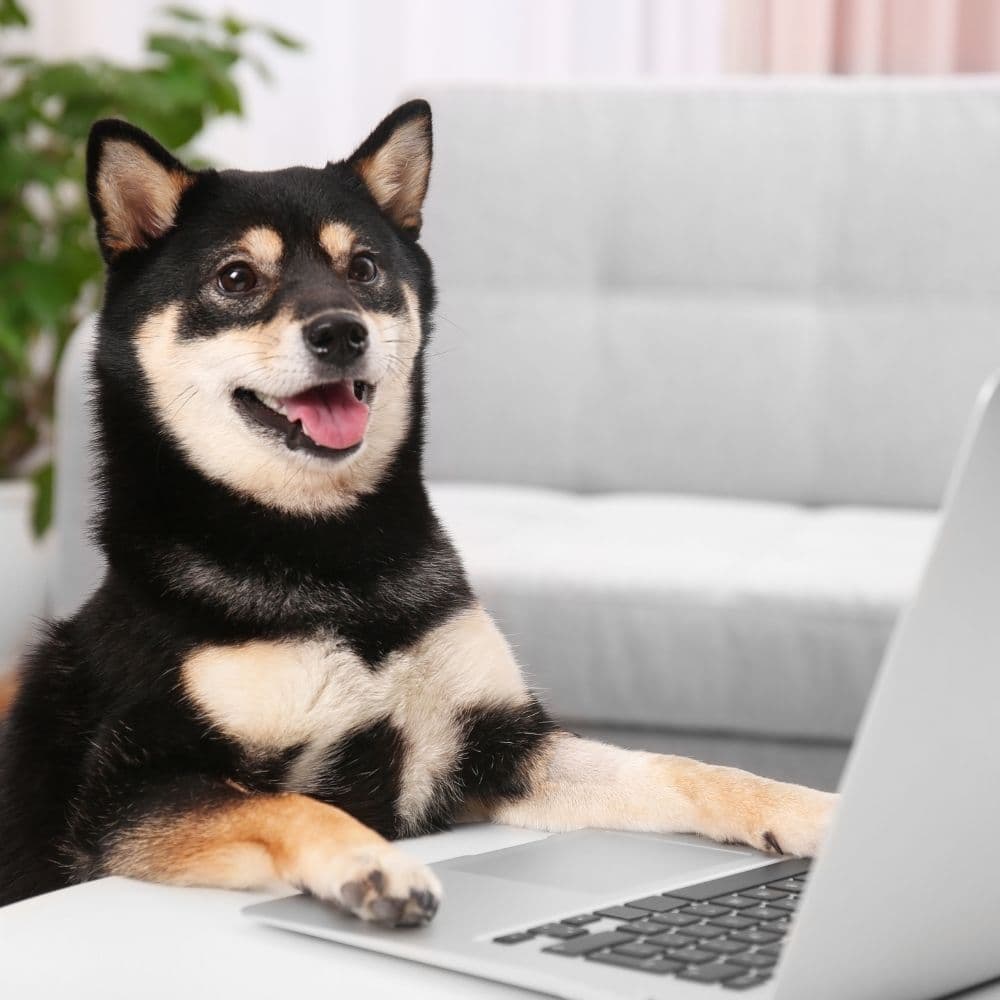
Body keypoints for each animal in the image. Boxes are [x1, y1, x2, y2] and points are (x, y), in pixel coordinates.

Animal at [0, 103, 836, 920]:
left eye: (364, 268)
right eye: (235, 276)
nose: (340, 331)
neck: (333, 557)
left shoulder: (499, 745)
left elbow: (684, 767)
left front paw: (814, 809)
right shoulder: (125, 797)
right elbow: (285, 806)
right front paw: (371, 863)